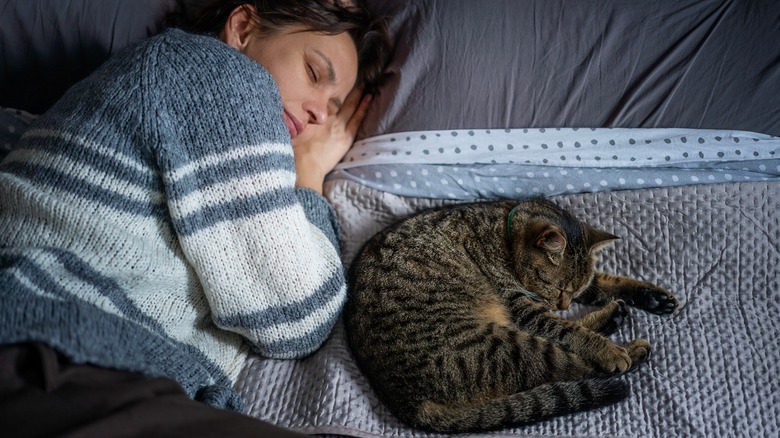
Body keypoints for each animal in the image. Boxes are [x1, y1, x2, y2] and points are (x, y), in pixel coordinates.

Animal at [344, 198, 680, 434]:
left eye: (571, 290)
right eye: (554, 285)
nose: (562, 304)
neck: (503, 235)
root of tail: (404, 401)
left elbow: (604, 282)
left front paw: (653, 297)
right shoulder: (523, 307)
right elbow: (567, 330)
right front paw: (606, 349)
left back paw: (615, 318)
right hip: (498, 344)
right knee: (567, 365)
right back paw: (626, 349)